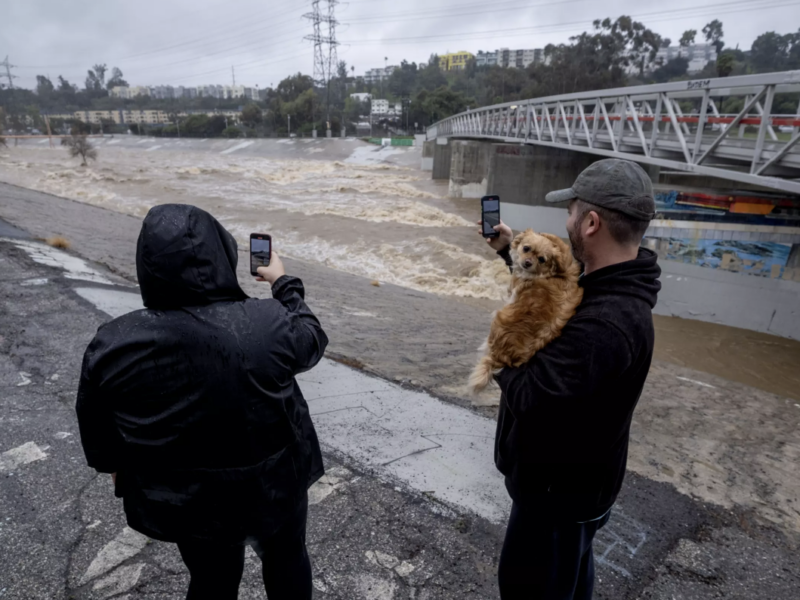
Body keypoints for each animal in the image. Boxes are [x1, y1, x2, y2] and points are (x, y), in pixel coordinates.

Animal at [468, 230, 580, 394]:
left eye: (541, 259)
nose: (527, 262)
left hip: (498, 318)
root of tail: (498, 359)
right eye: (526, 248)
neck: (554, 273)